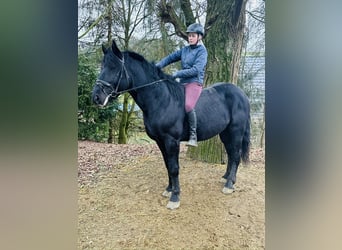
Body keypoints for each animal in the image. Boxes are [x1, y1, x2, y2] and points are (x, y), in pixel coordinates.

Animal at [92, 41, 250, 209]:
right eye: (102, 66)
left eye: (114, 68)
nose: (96, 97)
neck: (161, 100)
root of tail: (241, 94)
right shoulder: (160, 141)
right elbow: (167, 165)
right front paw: (169, 189)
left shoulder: (171, 141)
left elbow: (174, 168)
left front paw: (175, 197)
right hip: (225, 133)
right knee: (231, 153)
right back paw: (226, 177)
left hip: (236, 131)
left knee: (236, 155)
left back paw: (229, 184)